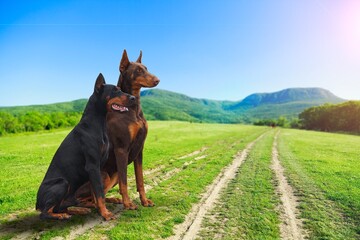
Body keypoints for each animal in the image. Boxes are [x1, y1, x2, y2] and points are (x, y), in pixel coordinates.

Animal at [36, 73, 135, 221]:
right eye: (115, 90)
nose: (133, 98)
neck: (98, 124)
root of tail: (36, 202)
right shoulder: (92, 166)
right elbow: (99, 193)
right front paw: (106, 214)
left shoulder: (98, 168)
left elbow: (96, 193)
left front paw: (100, 209)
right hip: (62, 183)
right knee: (44, 213)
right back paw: (62, 215)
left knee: (61, 206)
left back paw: (79, 209)